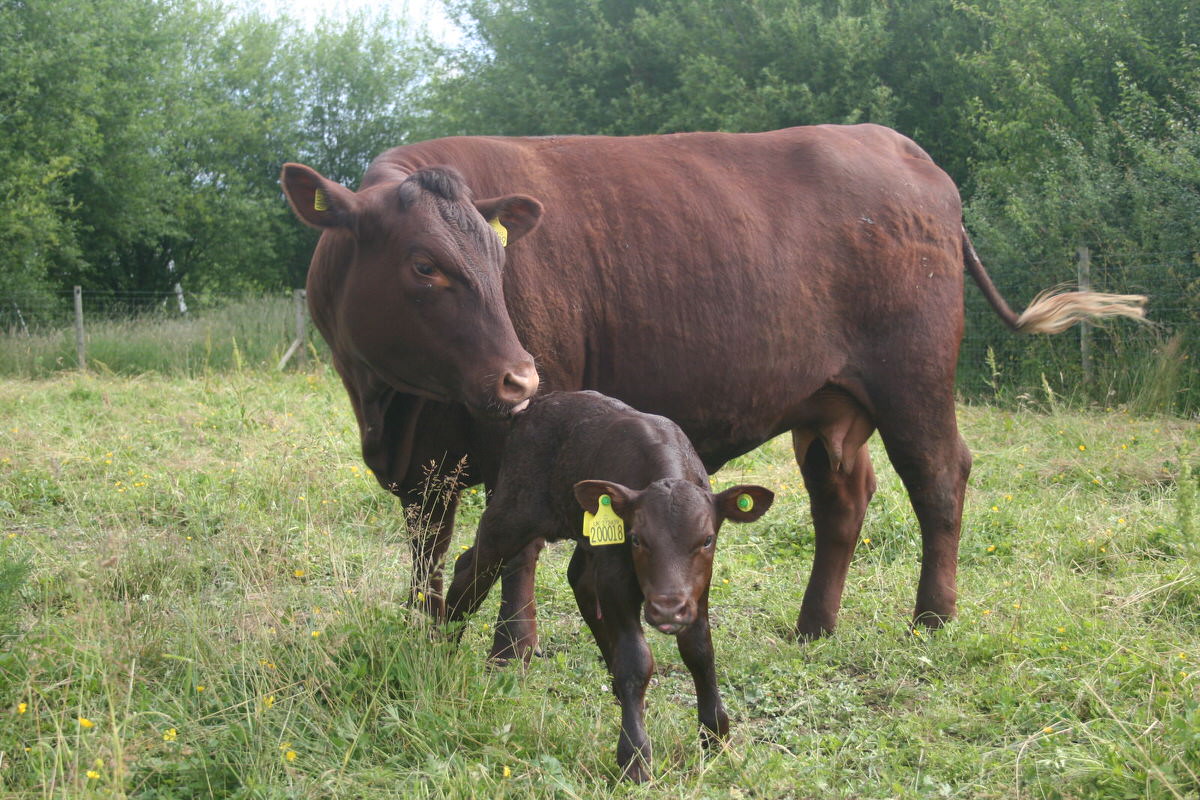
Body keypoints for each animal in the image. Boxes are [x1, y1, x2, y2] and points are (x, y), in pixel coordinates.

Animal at [280, 125, 1142, 662]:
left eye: (499, 267)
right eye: (424, 264)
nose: (517, 376)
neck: (398, 405)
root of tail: (895, 145)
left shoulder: (526, 441)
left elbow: (514, 551)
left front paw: (512, 650)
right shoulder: (423, 470)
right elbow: (427, 552)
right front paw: (425, 630)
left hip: (915, 381)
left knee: (939, 481)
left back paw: (932, 620)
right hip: (828, 402)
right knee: (843, 500)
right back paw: (813, 628)